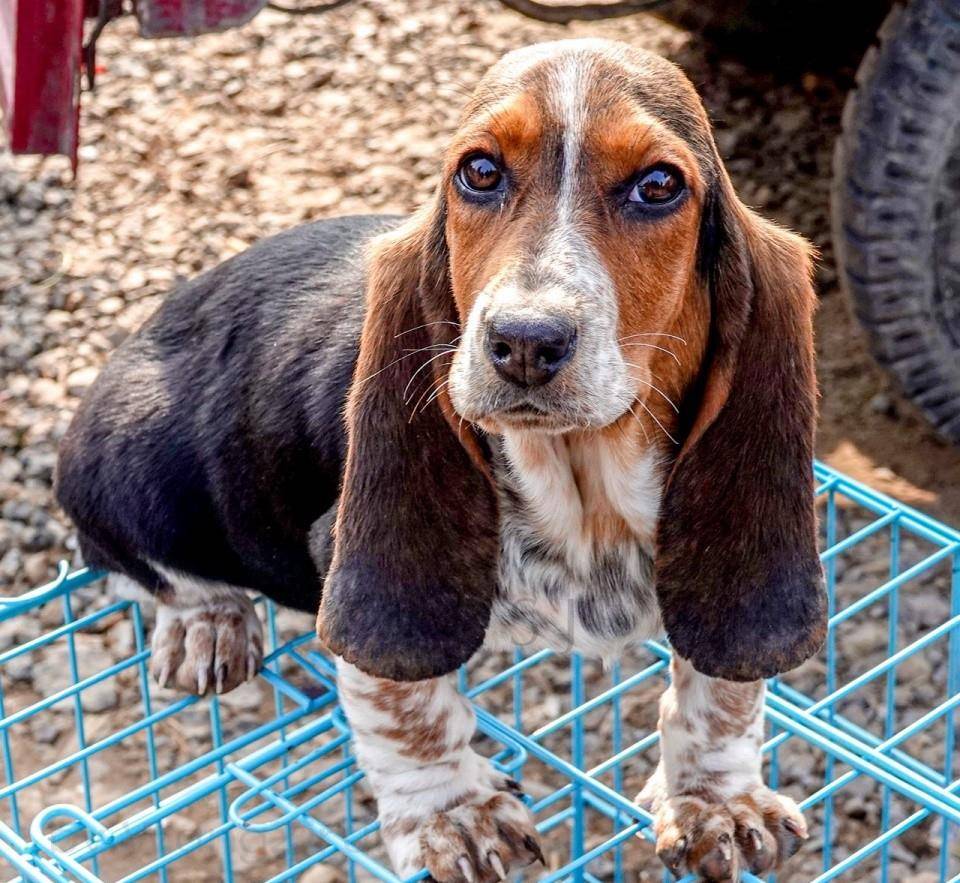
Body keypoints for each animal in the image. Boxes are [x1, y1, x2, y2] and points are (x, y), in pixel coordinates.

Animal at [56, 38, 828, 880]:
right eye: (479, 172)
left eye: (658, 186)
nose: (524, 340)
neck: (580, 484)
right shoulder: (346, 559)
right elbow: (407, 702)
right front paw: (453, 815)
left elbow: (721, 682)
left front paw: (717, 796)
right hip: (131, 459)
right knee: (135, 562)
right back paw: (210, 624)